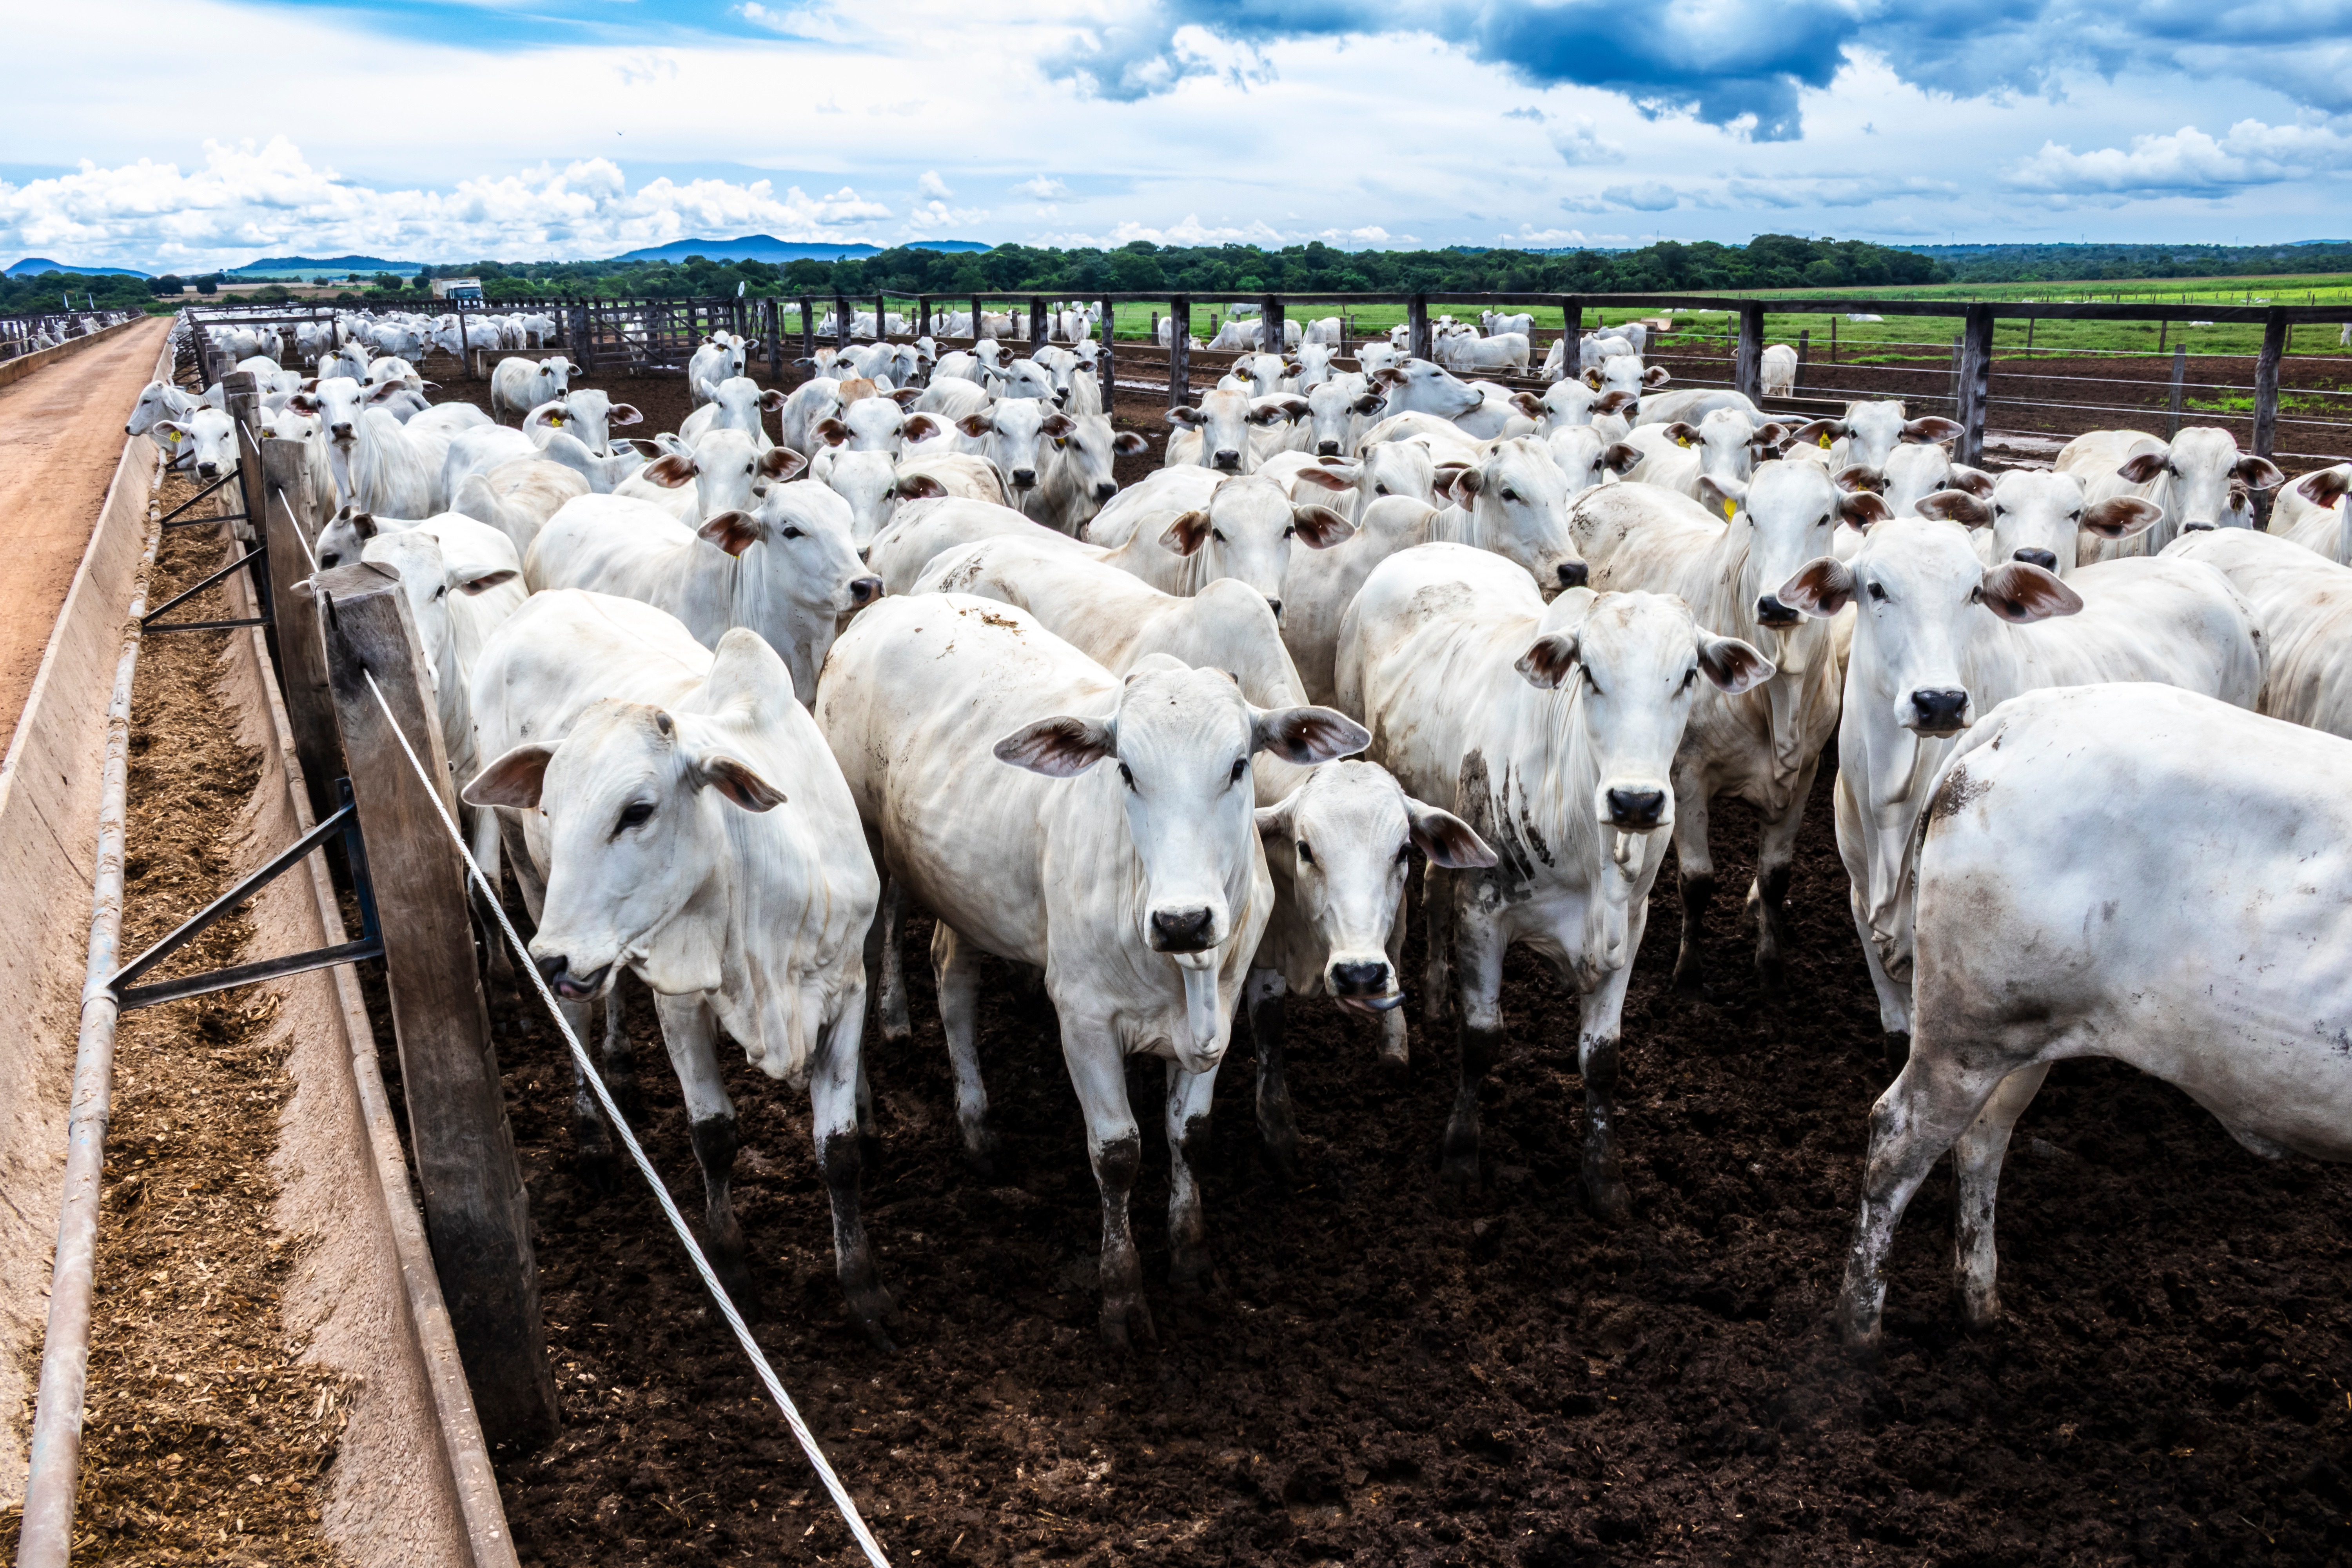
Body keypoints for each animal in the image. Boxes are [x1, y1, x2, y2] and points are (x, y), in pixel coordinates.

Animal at [464, 593, 890, 1342]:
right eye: (550, 807)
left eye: (638, 811)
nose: (550, 957)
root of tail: (539, 600)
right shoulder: (682, 1001)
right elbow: (713, 1135)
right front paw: (731, 1269)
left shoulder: (848, 989)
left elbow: (839, 1153)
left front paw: (863, 1291)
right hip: (534, 880)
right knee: (574, 1013)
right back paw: (594, 1138)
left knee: (603, 996)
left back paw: (621, 1067)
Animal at [814, 596, 1367, 1344]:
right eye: (1126, 770)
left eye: (1237, 766)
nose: (1183, 920)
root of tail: (888, 605)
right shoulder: (1082, 1018)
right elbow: (1117, 1153)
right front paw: (1123, 1296)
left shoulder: (1221, 1010)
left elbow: (1189, 1136)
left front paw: (1191, 1259)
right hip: (867, 853)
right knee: (872, 969)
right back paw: (868, 1115)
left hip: (964, 889)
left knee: (953, 981)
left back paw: (979, 1133)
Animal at [1337, 545, 1771, 1212]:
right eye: (1589, 672)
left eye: (1689, 675)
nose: (1636, 801)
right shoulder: (1484, 913)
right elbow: (1481, 1038)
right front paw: (1461, 1154)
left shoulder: (1631, 926)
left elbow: (1603, 1059)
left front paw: (1604, 1178)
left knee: (1434, 887)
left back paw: (1434, 998)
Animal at [1773, 516, 2268, 1059]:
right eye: (1877, 588)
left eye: (1974, 592)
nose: (1940, 701)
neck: (1890, 804)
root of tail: (2221, 585)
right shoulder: (1861, 895)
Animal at [1838, 682, 2352, 1349]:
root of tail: (2020, 716)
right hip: (1967, 1030)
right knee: (1899, 1140)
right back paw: (1859, 1330)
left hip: (2020, 1034)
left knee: (1982, 1137)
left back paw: (1979, 1304)